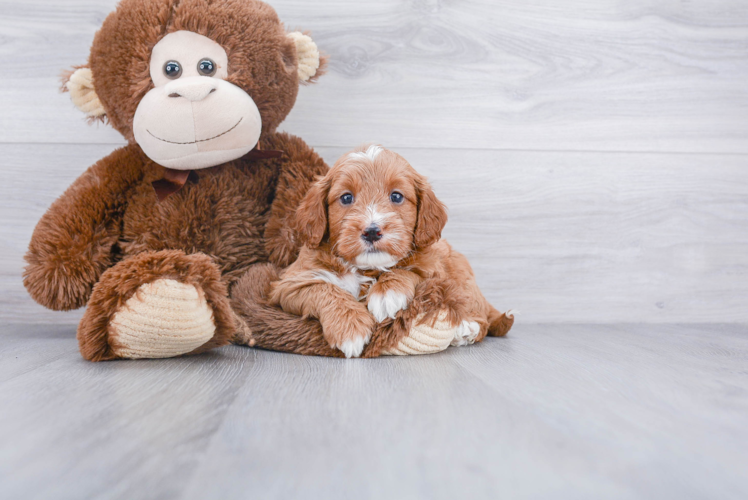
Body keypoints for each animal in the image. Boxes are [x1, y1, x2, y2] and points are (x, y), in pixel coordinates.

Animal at [270, 143, 516, 358]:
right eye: (346, 197)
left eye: (396, 196)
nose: (372, 231)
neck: (367, 269)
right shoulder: (291, 282)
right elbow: (325, 288)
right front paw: (350, 328)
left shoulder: (434, 271)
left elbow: (407, 271)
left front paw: (387, 293)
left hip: (461, 276)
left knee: (481, 317)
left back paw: (466, 329)